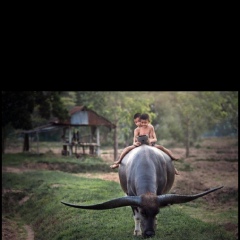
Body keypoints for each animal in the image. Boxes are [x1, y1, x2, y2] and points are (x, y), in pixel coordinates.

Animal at [61, 143, 223, 237]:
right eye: (144, 212)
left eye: (157, 212)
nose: (150, 233)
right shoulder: (131, 196)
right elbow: (136, 216)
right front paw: (137, 232)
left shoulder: (159, 193)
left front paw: (155, 224)